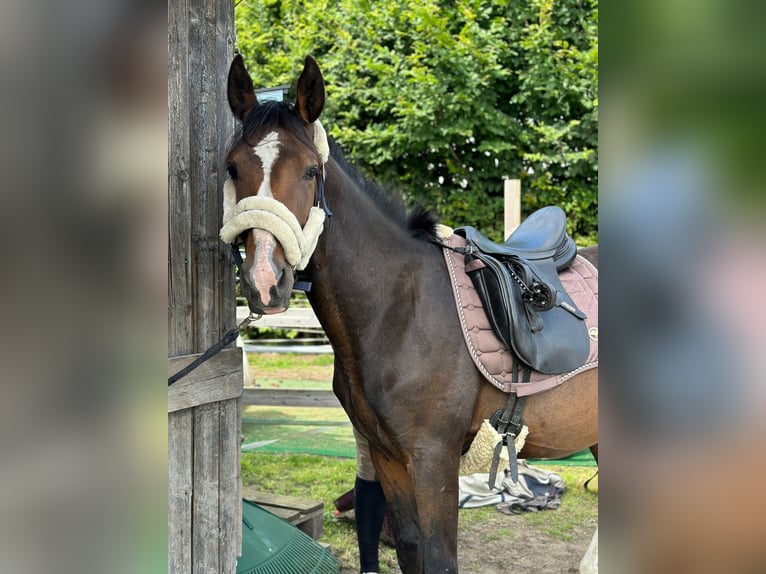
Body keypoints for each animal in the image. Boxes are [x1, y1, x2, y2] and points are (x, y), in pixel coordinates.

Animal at [222, 53, 600, 572]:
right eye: (232, 168)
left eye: (310, 172)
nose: (264, 280)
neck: (399, 307)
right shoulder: (388, 458)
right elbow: (408, 549)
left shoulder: (433, 460)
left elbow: (438, 559)